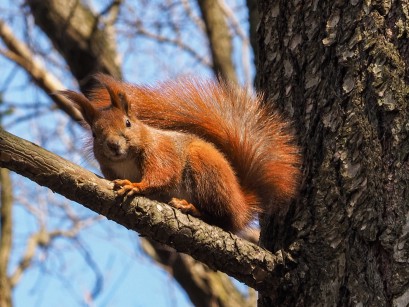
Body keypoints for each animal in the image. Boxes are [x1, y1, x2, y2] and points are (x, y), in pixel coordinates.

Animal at [59, 75, 300, 233]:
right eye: (94, 133)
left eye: (127, 123)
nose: (114, 145)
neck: (125, 160)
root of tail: (241, 202)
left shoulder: (160, 153)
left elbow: (161, 175)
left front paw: (135, 186)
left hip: (206, 171)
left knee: (223, 219)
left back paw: (192, 208)